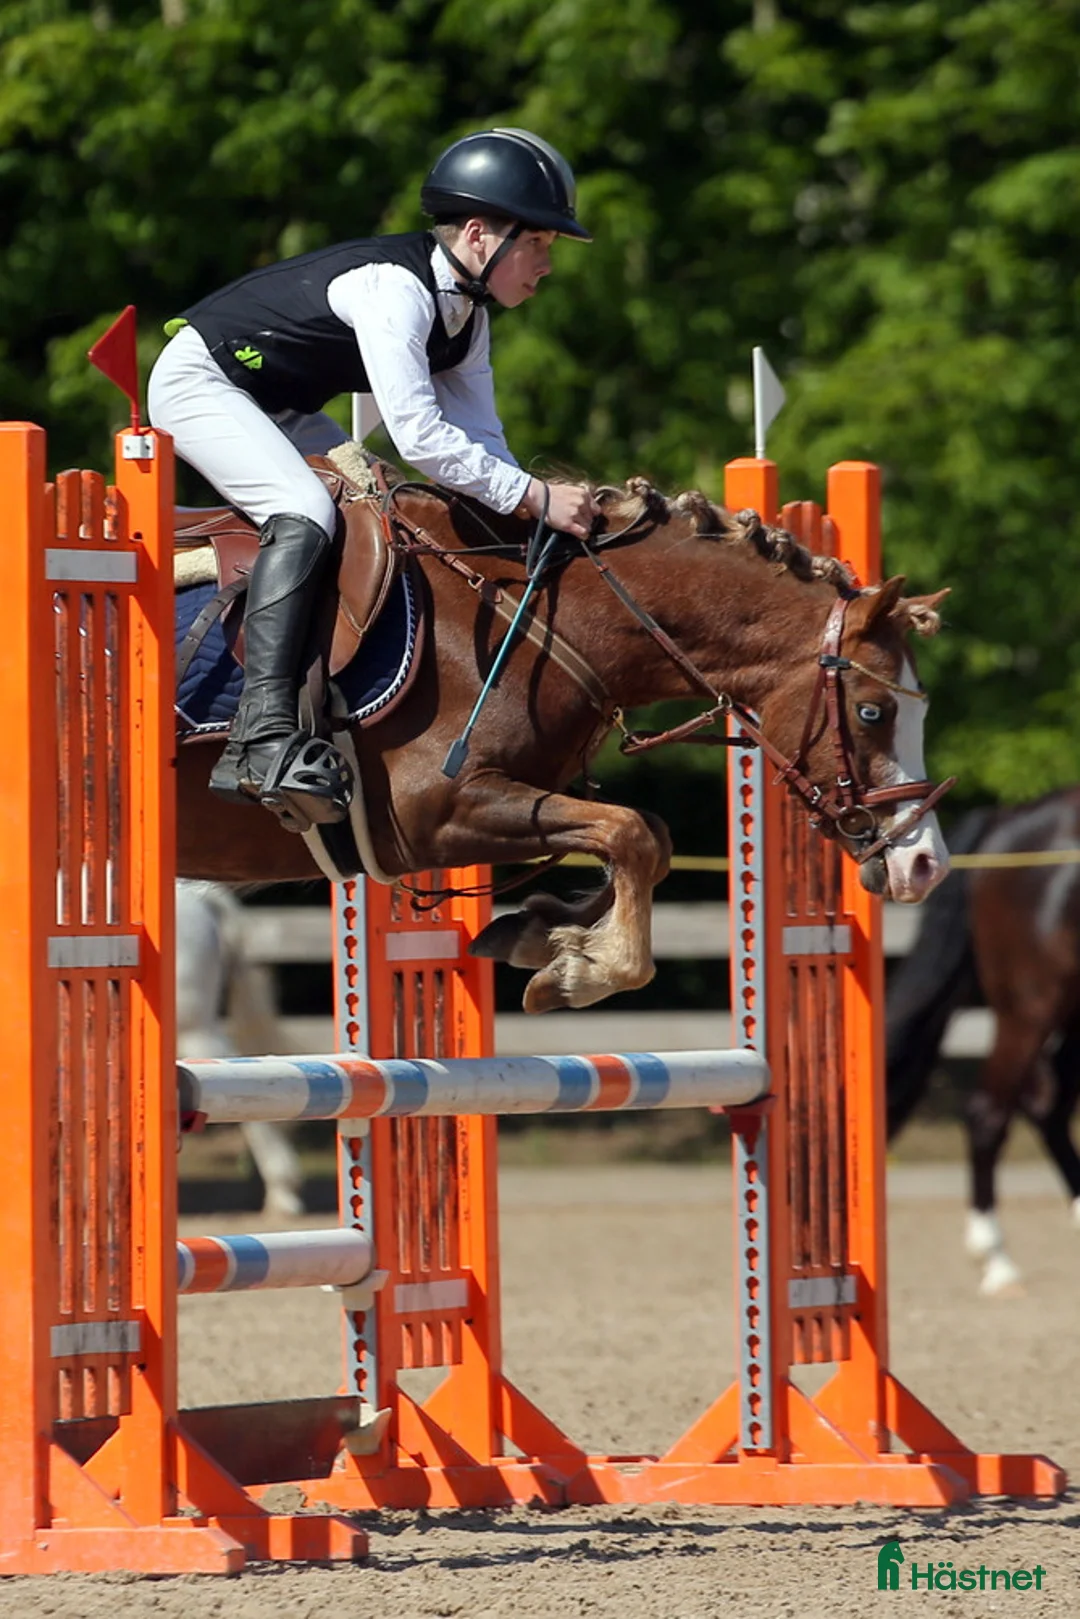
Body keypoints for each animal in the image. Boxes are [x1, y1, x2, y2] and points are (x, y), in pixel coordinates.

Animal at [174, 470, 952, 1013]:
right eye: (875, 712)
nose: (925, 865)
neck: (534, 618)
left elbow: (648, 835)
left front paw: (543, 933)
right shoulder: (430, 814)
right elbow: (632, 833)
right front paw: (582, 972)